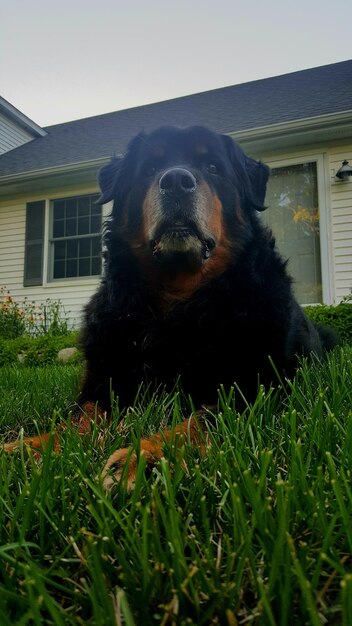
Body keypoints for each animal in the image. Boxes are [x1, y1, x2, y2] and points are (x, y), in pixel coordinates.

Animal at [4, 125, 336, 488]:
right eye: (150, 168)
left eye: (213, 167)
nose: (176, 180)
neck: (177, 301)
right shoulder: (103, 381)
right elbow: (77, 419)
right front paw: (27, 448)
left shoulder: (260, 384)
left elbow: (202, 420)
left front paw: (146, 457)